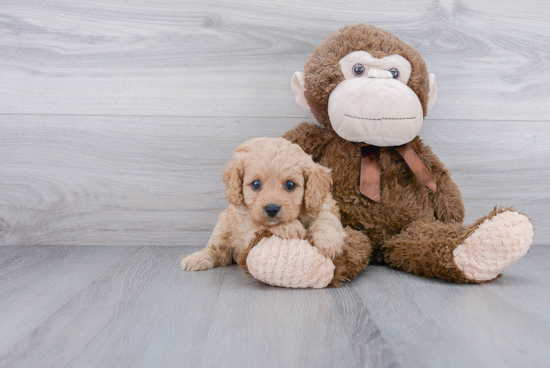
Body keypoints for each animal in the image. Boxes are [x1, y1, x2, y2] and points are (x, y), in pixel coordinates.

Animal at [181, 137, 344, 272]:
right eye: (256, 184)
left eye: (290, 184)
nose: (271, 209)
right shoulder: (245, 224)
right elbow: (259, 225)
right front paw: (289, 227)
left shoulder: (320, 205)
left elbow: (326, 220)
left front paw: (328, 242)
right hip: (222, 228)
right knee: (216, 248)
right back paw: (196, 258)